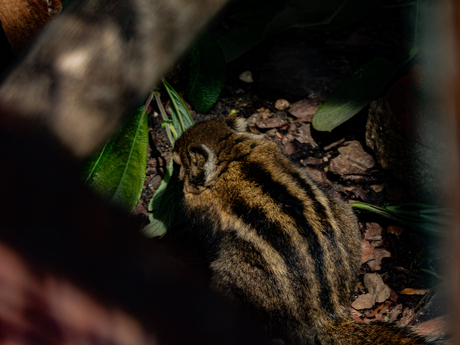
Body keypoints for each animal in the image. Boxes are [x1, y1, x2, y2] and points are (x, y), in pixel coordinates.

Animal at [172, 116, 438, 344]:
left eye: (178, 163)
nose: (172, 155)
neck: (231, 153)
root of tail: (325, 313)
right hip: (346, 213)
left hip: (233, 277)